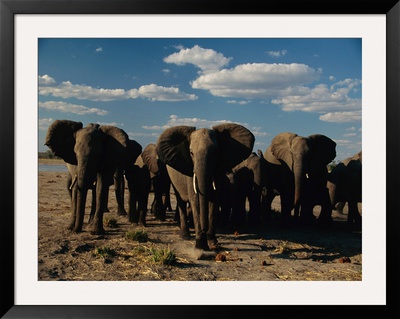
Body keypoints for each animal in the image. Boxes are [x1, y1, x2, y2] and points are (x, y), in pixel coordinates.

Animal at [155, 124, 253, 252]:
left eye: (216, 152)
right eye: (191, 153)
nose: (204, 229)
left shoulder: (218, 169)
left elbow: (214, 200)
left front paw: (213, 243)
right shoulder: (189, 170)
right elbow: (195, 200)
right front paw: (201, 246)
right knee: (180, 200)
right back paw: (185, 236)